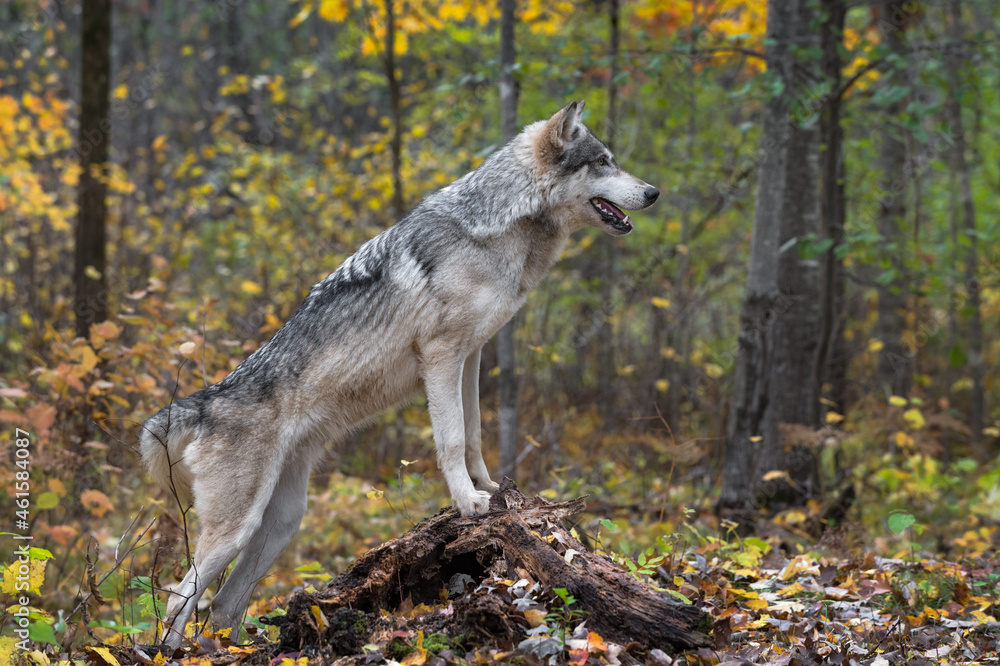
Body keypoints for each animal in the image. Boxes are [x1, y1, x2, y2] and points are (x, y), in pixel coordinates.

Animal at [140, 100, 659, 648]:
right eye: (602, 162)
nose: (653, 192)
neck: (496, 226)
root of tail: (202, 403)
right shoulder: (441, 355)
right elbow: (451, 440)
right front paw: (469, 504)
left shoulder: (472, 356)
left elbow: (475, 433)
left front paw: (490, 489)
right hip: (238, 529)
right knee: (179, 598)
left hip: (282, 523)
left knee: (222, 606)